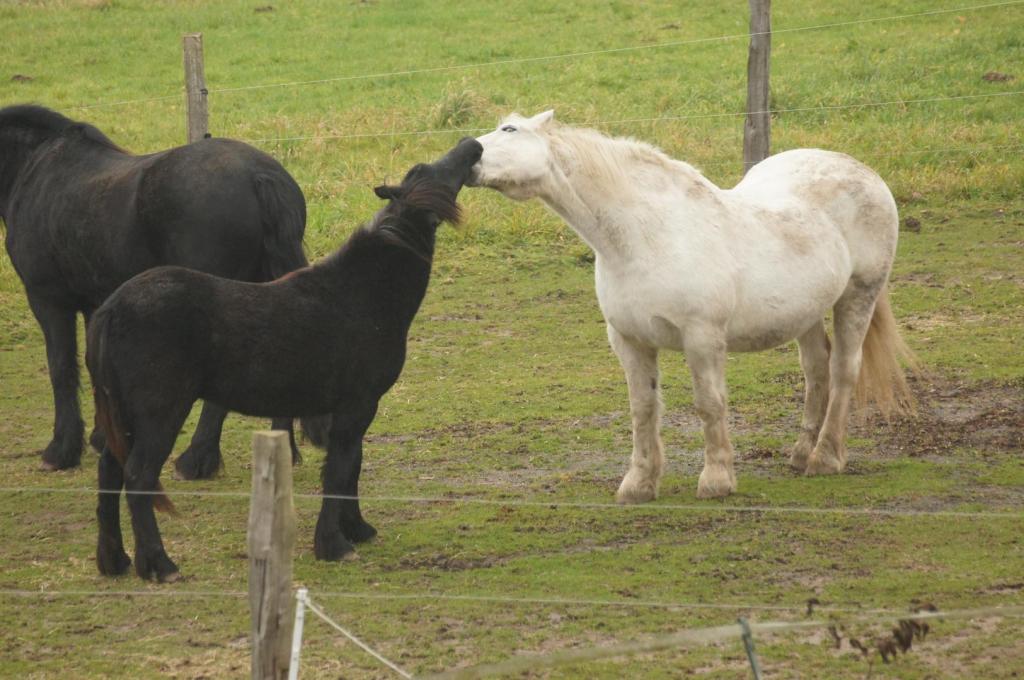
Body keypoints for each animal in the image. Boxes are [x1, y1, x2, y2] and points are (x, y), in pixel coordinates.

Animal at [1, 104, 319, 478]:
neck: (35, 168)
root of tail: (258, 175)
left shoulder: (48, 300)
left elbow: (61, 368)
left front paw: (61, 450)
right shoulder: (95, 302)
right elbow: (96, 368)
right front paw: (101, 438)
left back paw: (197, 458)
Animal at [85, 137, 482, 581]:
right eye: (439, 174)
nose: (473, 145)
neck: (362, 293)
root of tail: (112, 309)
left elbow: (351, 466)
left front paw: (357, 528)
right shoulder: (358, 405)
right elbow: (340, 470)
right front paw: (334, 544)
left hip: (124, 413)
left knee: (110, 470)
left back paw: (114, 560)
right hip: (159, 414)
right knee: (138, 476)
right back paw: (158, 563)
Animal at [469, 110, 915, 502]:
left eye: (509, 129)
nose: (467, 155)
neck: (647, 236)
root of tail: (863, 171)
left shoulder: (701, 338)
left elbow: (709, 404)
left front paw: (717, 480)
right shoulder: (629, 341)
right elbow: (643, 409)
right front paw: (639, 484)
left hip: (858, 297)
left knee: (843, 370)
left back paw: (825, 458)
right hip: (806, 313)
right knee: (816, 371)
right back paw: (801, 454)